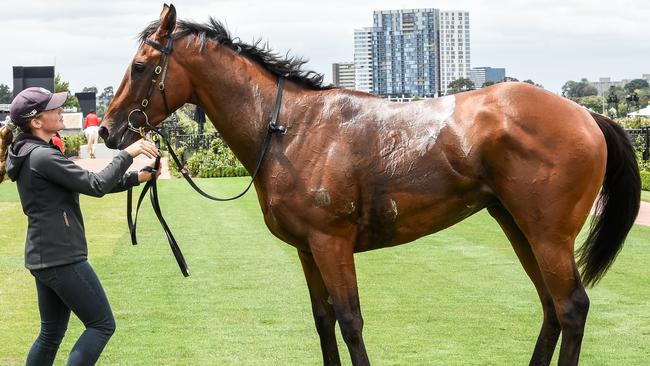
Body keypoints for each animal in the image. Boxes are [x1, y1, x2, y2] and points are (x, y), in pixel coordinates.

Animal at [98, 4, 640, 364]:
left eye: (141, 66)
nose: (107, 130)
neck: (290, 128)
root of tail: (588, 115)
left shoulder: (331, 243)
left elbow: (350, 321)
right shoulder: (307, 249)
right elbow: (323, 322)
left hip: (548, 234)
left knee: (571, 308)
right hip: (516, 224)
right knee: (551, 308)